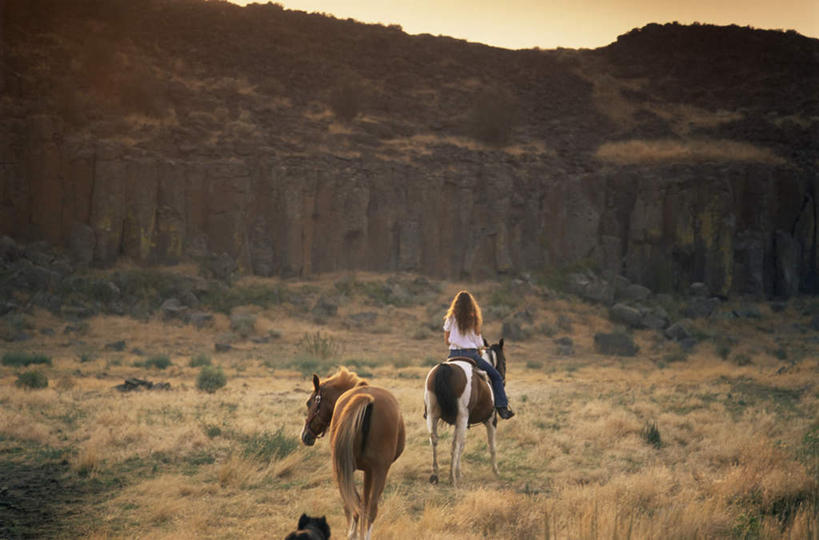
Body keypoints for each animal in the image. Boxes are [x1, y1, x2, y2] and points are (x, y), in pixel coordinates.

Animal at [300, 368, 406, 540]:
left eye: (309, 403)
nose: (305, 436)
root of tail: (367, 398)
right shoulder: (369, 471)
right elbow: (365, 501)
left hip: (343, 469)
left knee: (352, 503)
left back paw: (352, 533)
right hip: (379, 470)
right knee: (370, 507)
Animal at [422, 342, 506, 490]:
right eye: (504, 361)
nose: (503, 379)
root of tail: (445, 367)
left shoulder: (463, 423)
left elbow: (462, 444)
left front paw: (459, 472)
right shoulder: (491, 420)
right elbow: (492, 446)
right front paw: (496, 471)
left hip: (433, 415)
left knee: (434, 439)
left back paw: (435, 475)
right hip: (462, 417)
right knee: (454, 444)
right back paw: (451, 478)